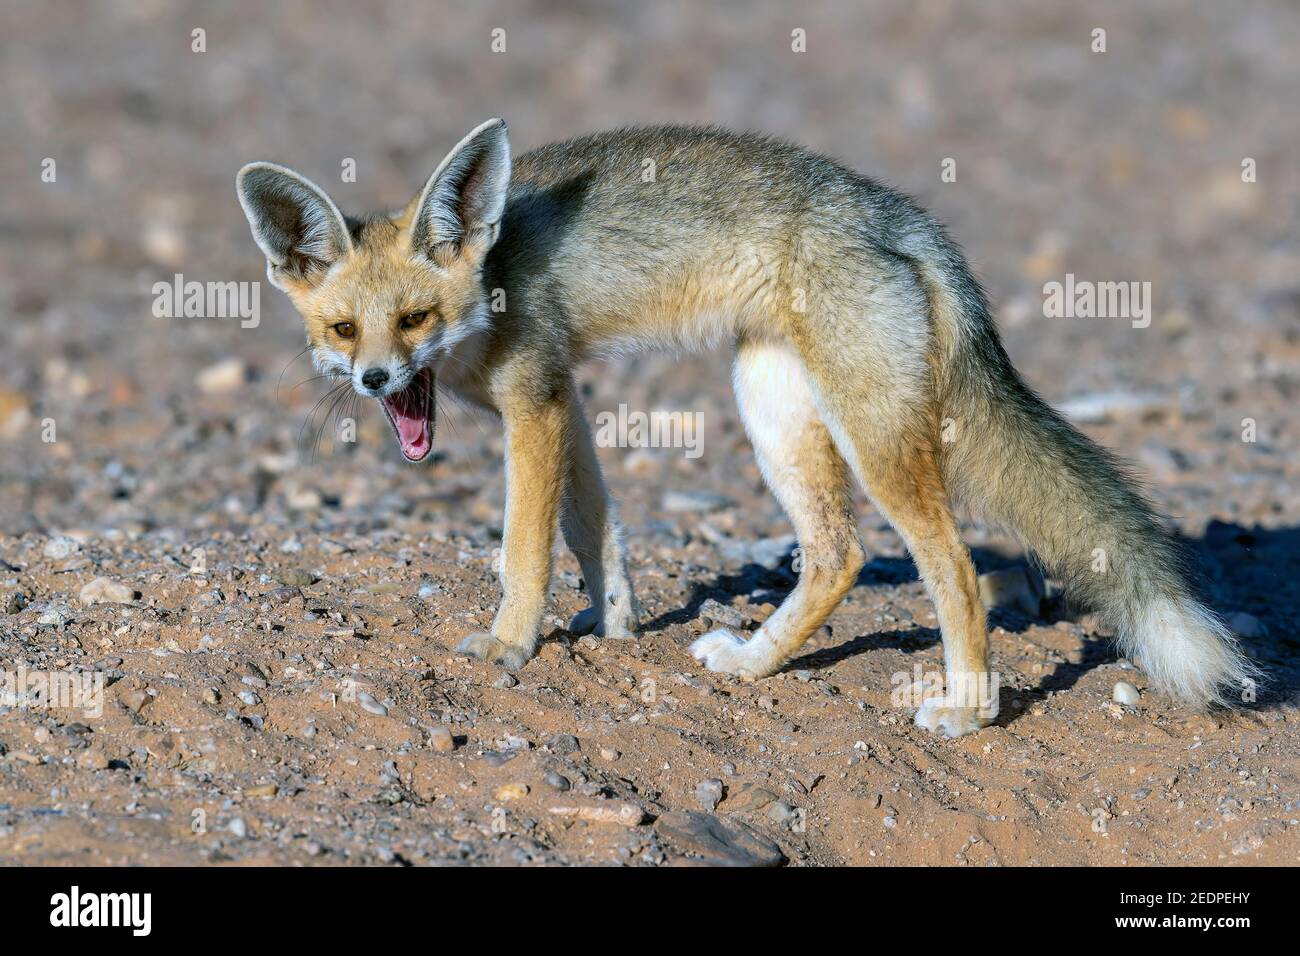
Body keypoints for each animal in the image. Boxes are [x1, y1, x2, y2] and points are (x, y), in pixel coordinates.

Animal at [236, 115, 1258, 738]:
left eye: (415, 319)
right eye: (343, 329)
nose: (374, 380)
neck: (487, 290)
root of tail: (901, 216)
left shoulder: (535, 403)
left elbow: (526, 547)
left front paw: (509, 645)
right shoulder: (566, 400)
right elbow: (593, 528)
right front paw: (616, 622)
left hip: (873, 439)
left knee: (956, 569)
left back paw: (967, 709)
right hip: (771, 411)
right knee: (839, 555)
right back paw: (757, 662)